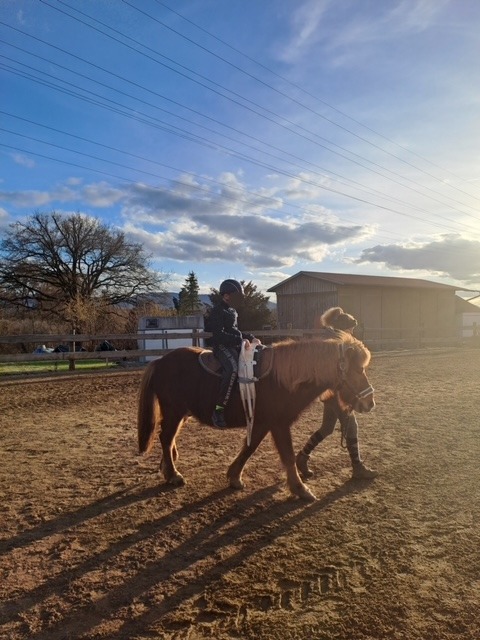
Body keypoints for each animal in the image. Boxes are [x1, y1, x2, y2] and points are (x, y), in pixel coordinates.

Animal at [137, 333, 375, 502]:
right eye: (358, 370)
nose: (369, 403)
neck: (282, 379)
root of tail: (159, 362)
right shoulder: (279, 424)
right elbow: (287, 456)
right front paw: (300, 489)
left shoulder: (262, 422)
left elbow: (249, 448)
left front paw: (234, 476)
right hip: (175, 412)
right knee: (166, 438)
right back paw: (173, 474)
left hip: (181, 414)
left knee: (169, 439)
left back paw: (167, 469)